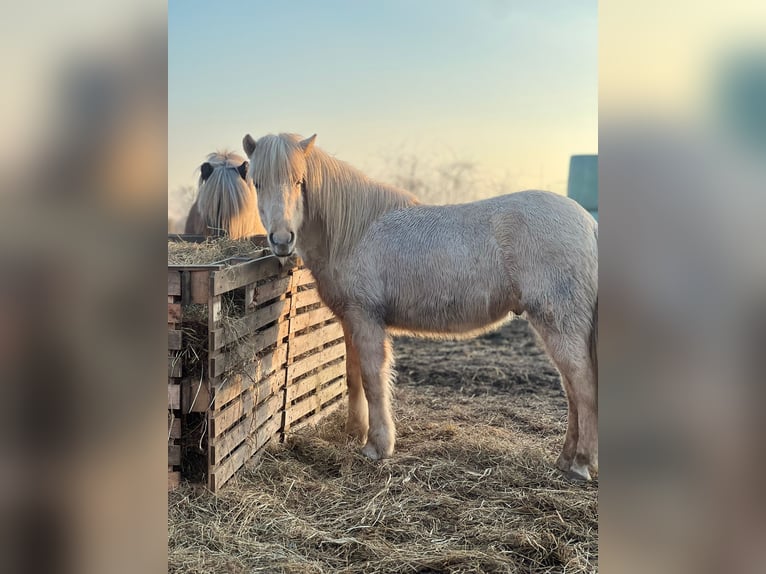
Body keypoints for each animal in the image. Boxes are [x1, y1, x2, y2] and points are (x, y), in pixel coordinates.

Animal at [242, 132, 598, 481]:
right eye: (256, 183)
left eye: (299, 181)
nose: (282, 240)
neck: (354, 233)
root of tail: (588, 223)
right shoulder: (350, 319)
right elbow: (353, 376)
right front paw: (355, 432)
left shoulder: (366, 319)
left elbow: (373, 379)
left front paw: (377, 446)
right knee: (571, 390)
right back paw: (565, 460)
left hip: (558, 323)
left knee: (582, 386)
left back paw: (580, 463)